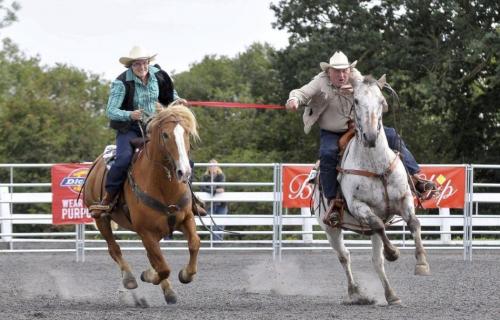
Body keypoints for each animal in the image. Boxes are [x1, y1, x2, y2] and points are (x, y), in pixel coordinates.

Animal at [83, 103, 200, 304]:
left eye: (186, 133)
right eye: (165, 134)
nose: (184, 172)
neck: (163, 186)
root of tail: (97, 163)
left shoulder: (186, 218)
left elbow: (194, 244)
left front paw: (185, 274)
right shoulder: (146, 231)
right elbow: (163, 267)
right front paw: (148, 276)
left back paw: (167, 291)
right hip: (102, 219)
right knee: (114, 249)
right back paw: (129, 279)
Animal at [314, 70, 432, 304]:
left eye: (382, 101)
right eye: (356, 101)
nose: (370, 136)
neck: (376, 166)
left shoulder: (404, 199)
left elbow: (414, 223)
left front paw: (422, 263)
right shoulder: (359, 206)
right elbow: (378, 224)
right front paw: (393, 252)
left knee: (376, 261)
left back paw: (391, 295)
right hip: (330, 228)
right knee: (344, 256)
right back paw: (355, 293)